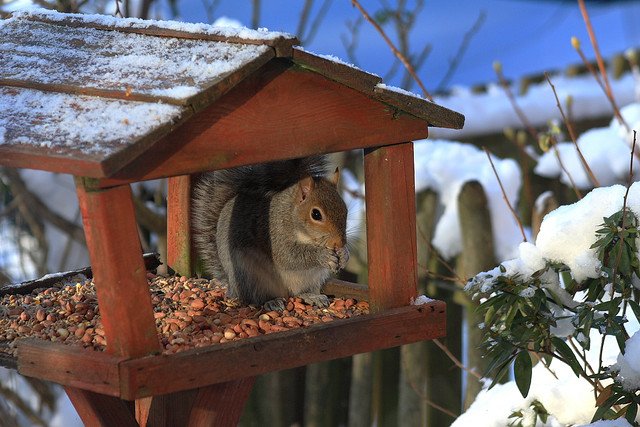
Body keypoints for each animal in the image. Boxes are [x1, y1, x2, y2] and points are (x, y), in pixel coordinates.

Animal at [191, 155, 350, 310]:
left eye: (345, 209)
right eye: (316, 214)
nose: (339, 242)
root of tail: (231, 286)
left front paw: (344, 254)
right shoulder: (275, 234)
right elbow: (289, 256)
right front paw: (323, 256)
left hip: (313, 279)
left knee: (300, 292)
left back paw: (312, 296)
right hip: (251, 276)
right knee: (256, 298)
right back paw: (271, 301)